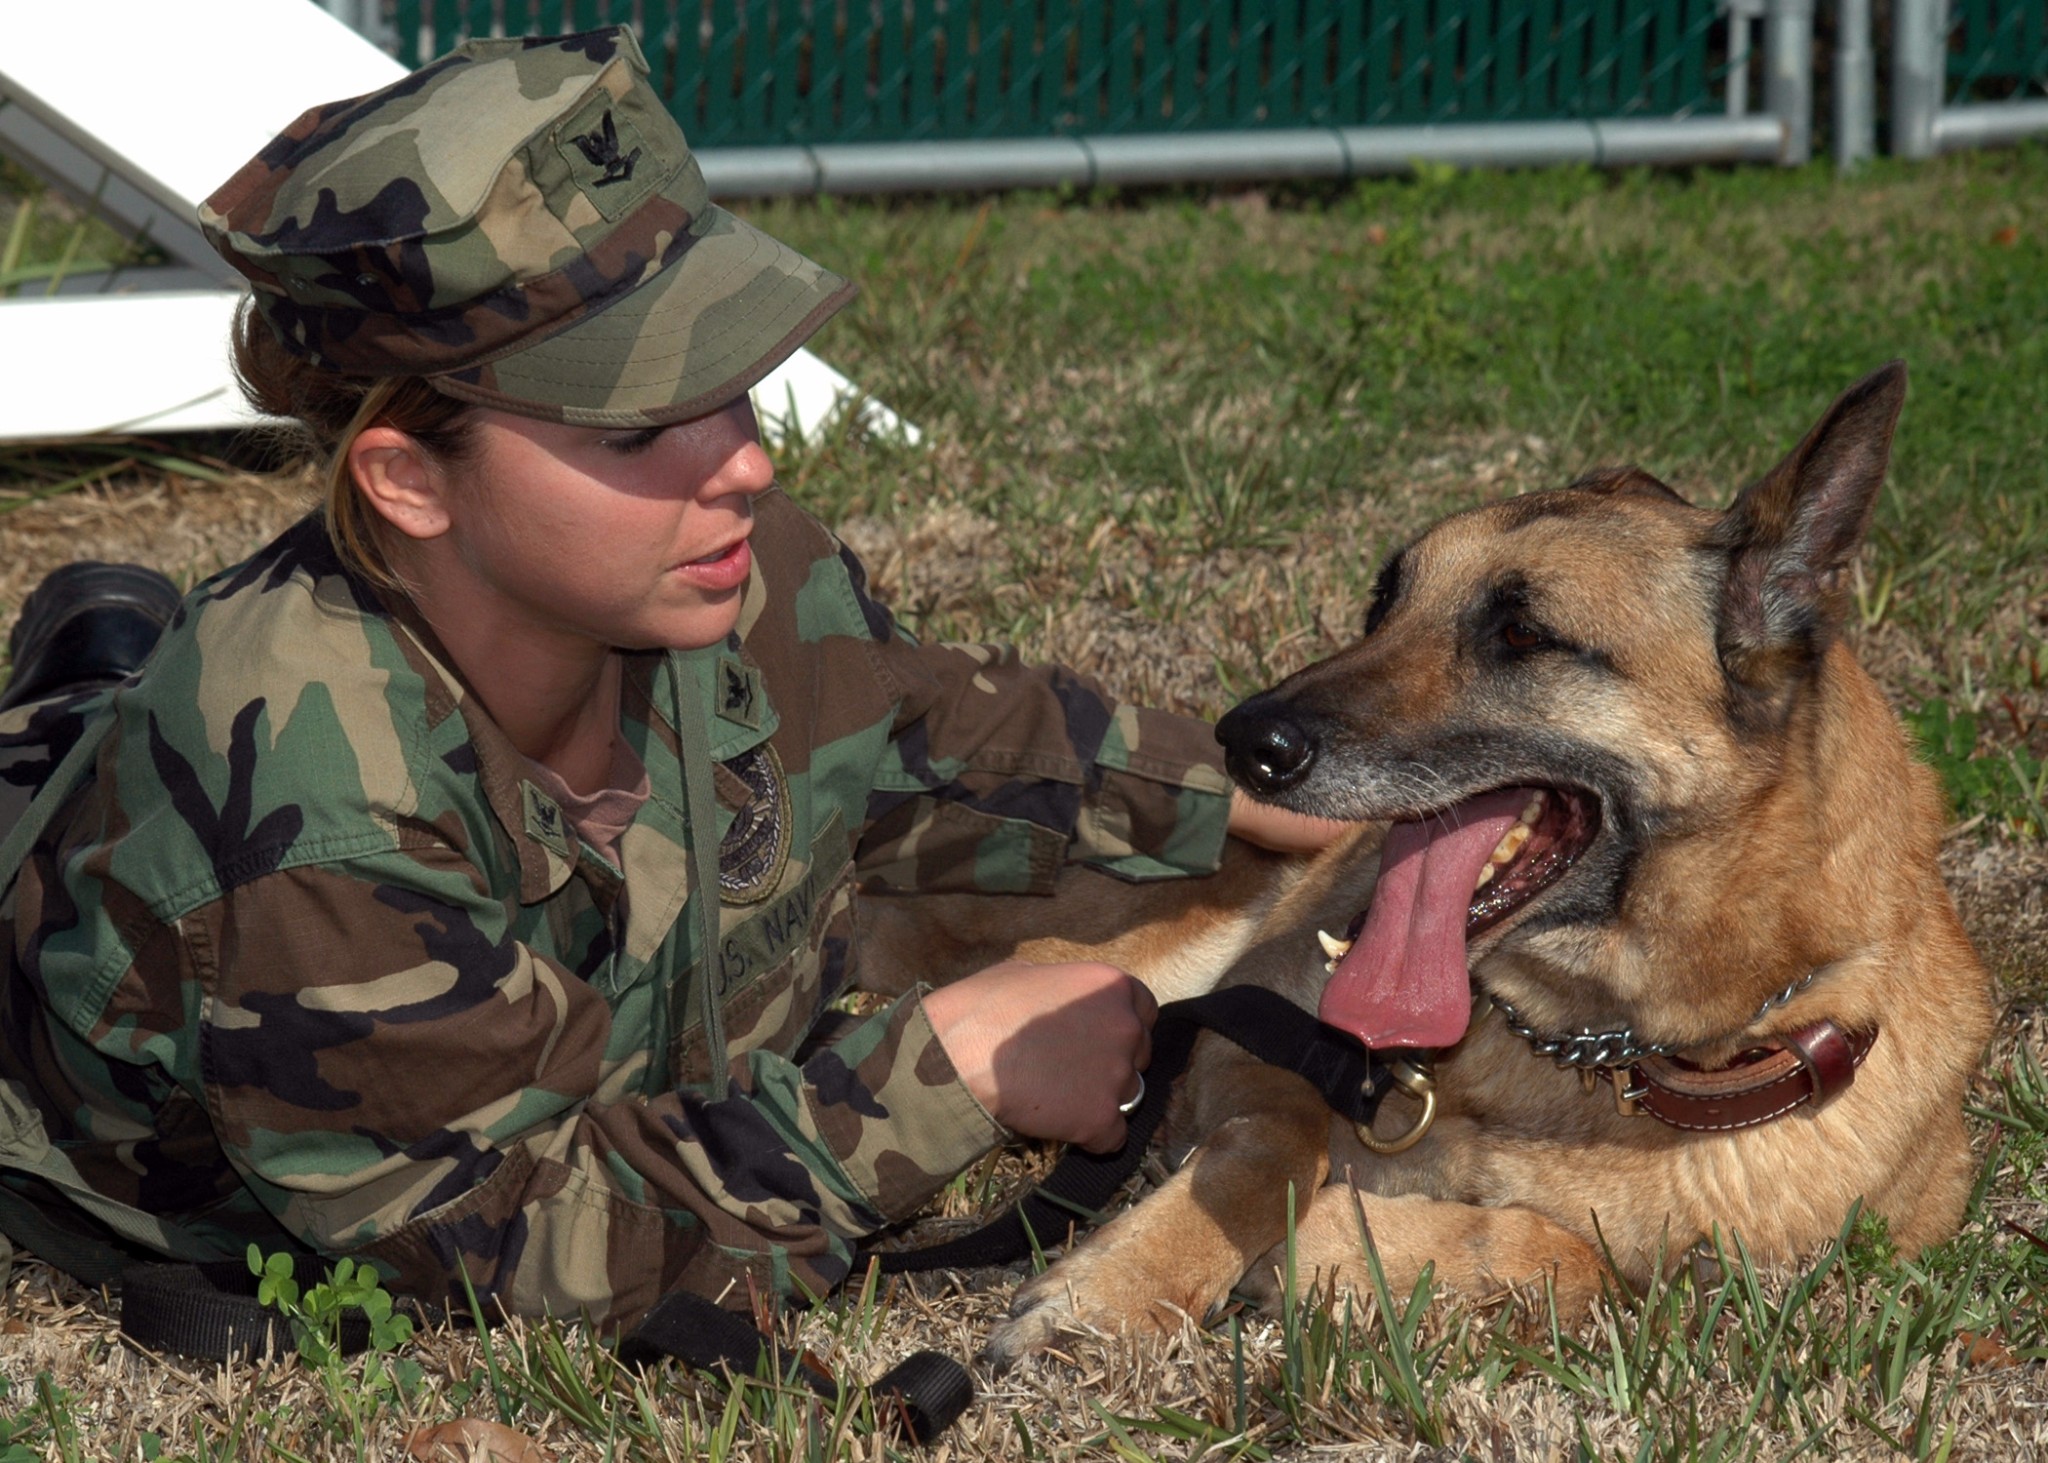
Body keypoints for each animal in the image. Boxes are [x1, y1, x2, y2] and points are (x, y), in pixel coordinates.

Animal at [856, 362, 1990, 1352]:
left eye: (1523, 634)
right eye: (1380, 603)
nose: (1243, 742)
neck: (1595, 1054)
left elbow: (1576, 1260)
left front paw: (1334, 1247)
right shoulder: (1250, 1038)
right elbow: (1267, 1148)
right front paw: (1124, 1282)